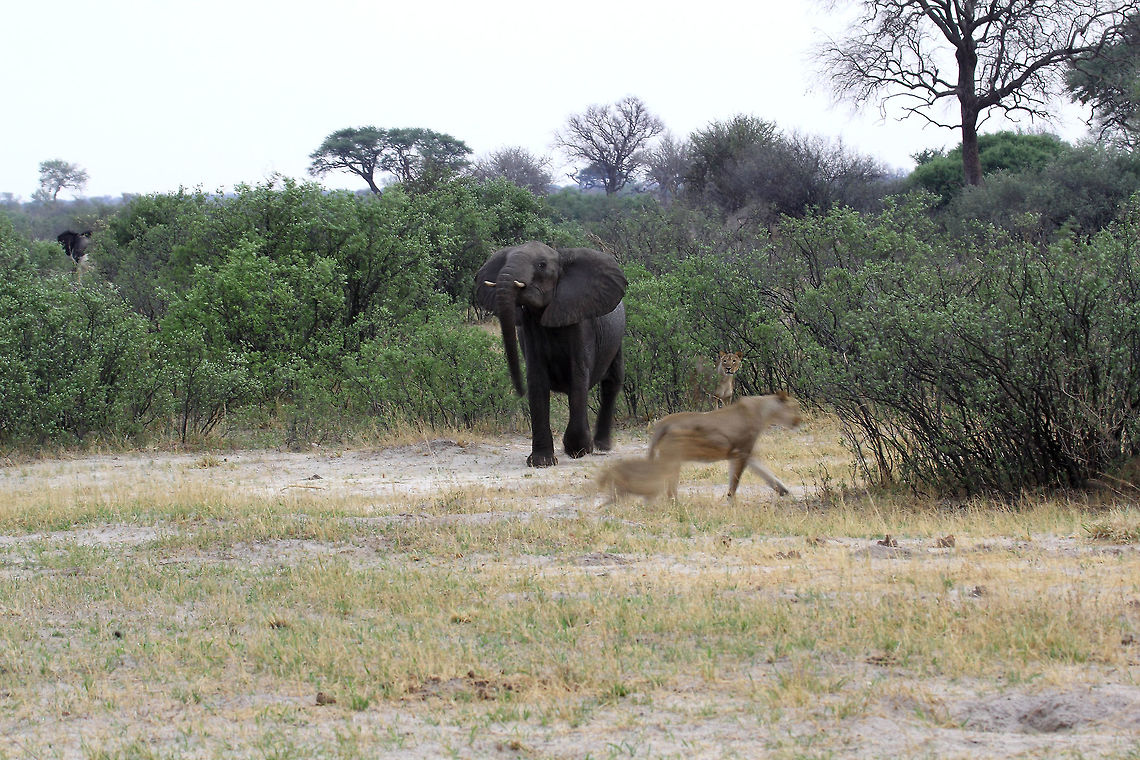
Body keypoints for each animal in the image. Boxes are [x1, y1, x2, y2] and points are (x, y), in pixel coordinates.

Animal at [476, 241, 627, 467]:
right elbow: (537, 379)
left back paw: (600, 446)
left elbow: (578, 375)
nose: (519, 392)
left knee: (611, 383)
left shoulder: (580, 321)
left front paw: (578, 449)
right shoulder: (529, 327)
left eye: (541, 265)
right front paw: (541, 462)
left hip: (617, 340)